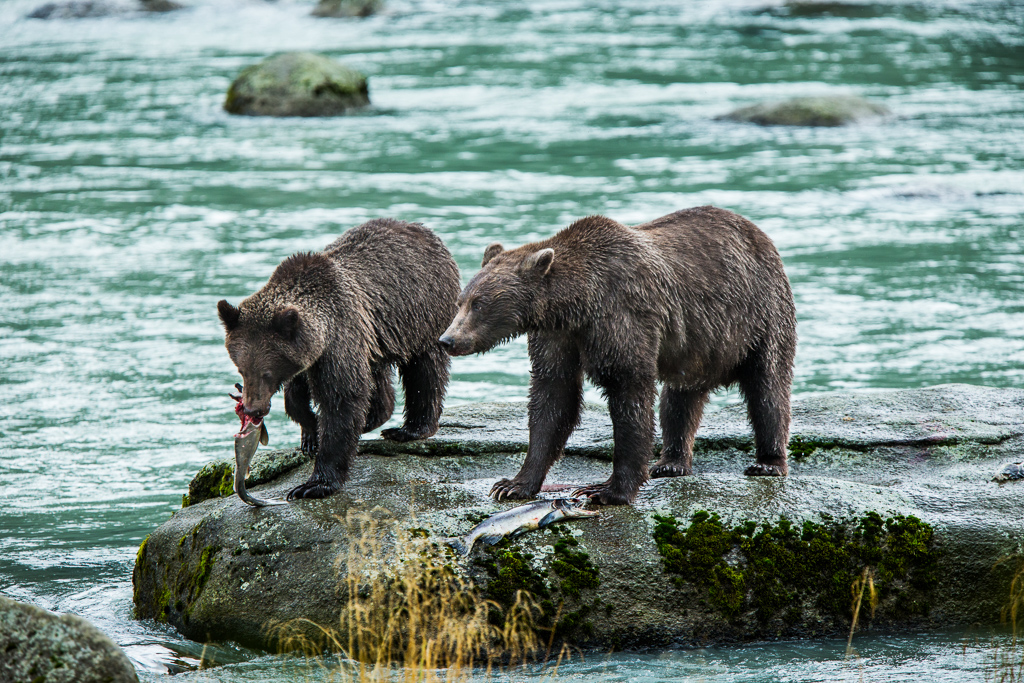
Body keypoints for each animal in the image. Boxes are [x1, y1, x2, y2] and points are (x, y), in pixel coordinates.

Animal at [217, 218, 461, 500]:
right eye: (241, 369)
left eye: (265, 372)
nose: (252, 409)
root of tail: (420, 228)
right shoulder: (308, 356)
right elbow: (296, 396)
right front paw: (310, 434)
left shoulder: (339, 339)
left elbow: (342, 398)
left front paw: (314, 484)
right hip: (377, 337)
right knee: (377, 376)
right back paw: (375, 417)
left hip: (422, 315)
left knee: (424, 371)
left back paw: (410, 429)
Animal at [438, 206, 796, 505]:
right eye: (461, 300)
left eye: (480, 303)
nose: (448, 339)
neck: (576, 305)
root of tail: (756, 231)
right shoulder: (558, 338)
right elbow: (552, 397)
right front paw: (513, 484)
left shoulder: (621, 317)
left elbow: (628, 395)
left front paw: (607, 490)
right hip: (696, 345)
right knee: (679, 398)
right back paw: (671, 462)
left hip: (761, 313)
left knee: (768, 387)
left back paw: (768, 462)